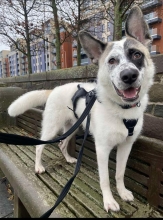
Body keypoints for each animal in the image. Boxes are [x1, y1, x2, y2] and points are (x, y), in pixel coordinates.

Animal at [7, 4, 155, 211]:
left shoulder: (126, 146)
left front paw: (122, 192)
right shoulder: (102, 149)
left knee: (62, 144)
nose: (128, 76)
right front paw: (109, 200)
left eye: (137, 54)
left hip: (73, 127)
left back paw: (69, 159)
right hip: (52, 128)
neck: (122, 108)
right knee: (39, 146)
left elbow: (119, 173)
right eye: (111, 61)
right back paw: (38, 167)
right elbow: (104, 179)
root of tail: (54, 89)